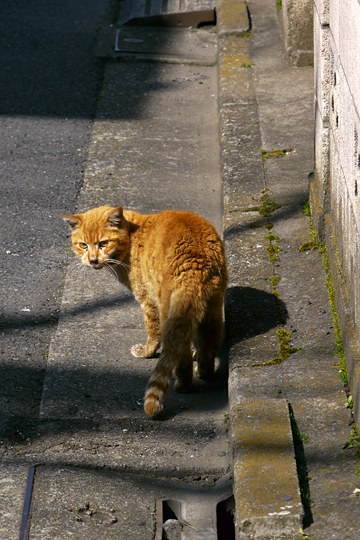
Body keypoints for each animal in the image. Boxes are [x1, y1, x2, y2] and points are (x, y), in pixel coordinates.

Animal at [63, 206, 226, 418]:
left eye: (103, 243)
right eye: (83, 245)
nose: (92, 261)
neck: (132, 237)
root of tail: (194, 261)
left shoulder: (147, 300)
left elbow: (152, 332)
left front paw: (146, 351)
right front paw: (195, 353)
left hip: (169, 309)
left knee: (179, 353)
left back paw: (182, 384)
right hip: (213, 307)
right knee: (209, 341)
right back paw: (204, 372)